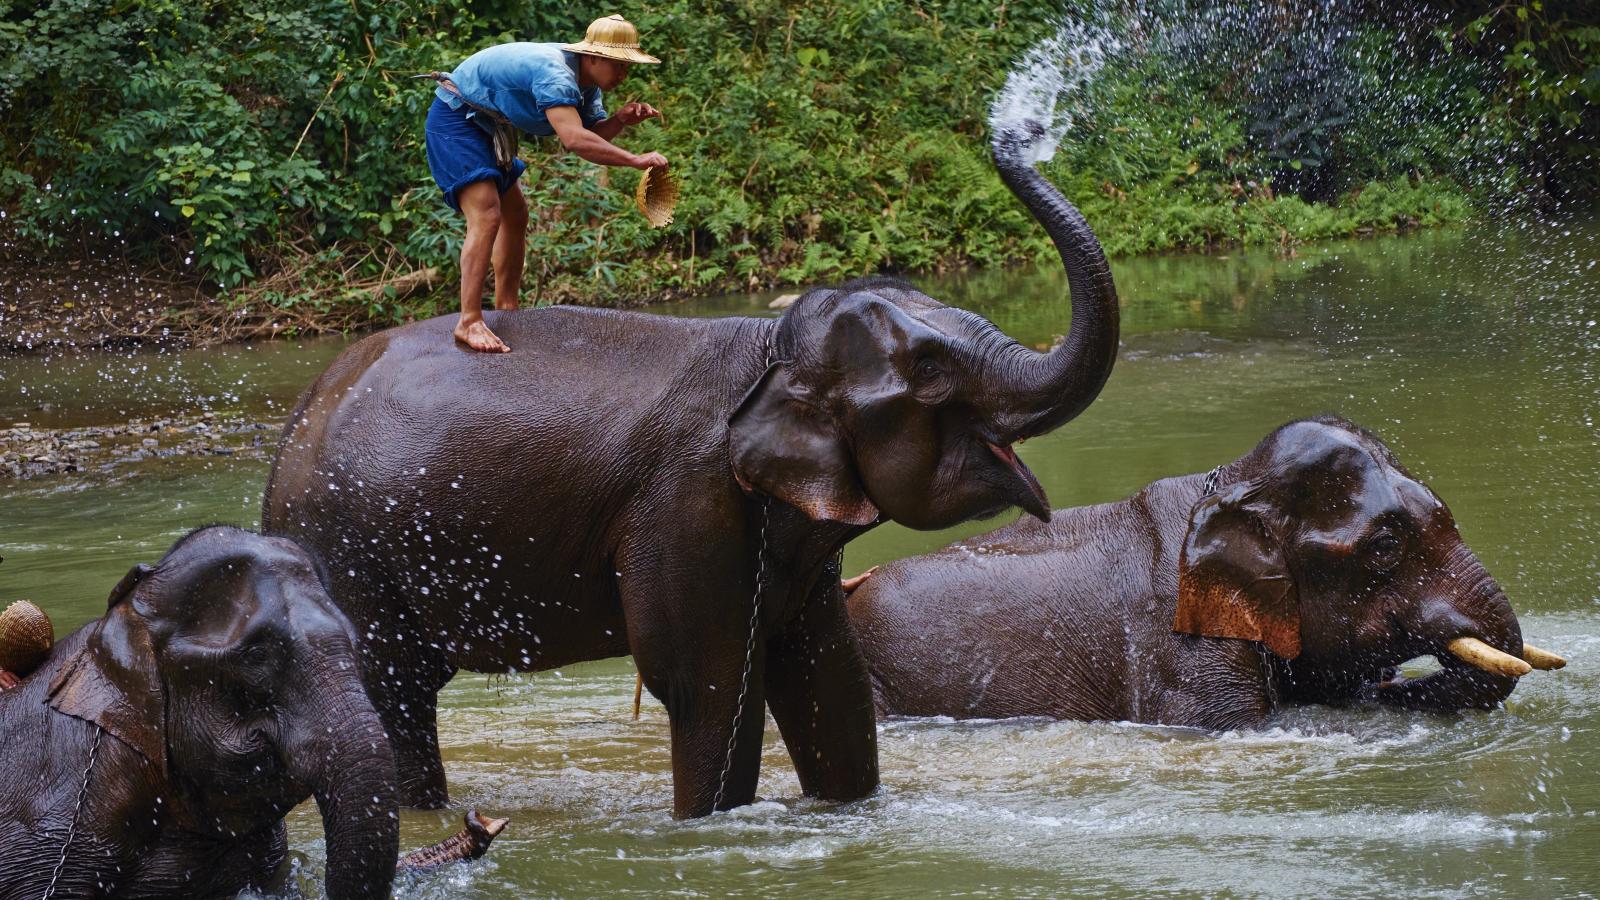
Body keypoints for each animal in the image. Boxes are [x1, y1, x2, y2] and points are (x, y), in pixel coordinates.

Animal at [262, 122, 1120, 816]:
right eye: (934, 372)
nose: (1020, 130)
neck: (767, 348)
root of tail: (299, 420)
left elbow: (826, 678)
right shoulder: (687, 500)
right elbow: (704, 684)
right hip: (345, 550)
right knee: (395, 698)